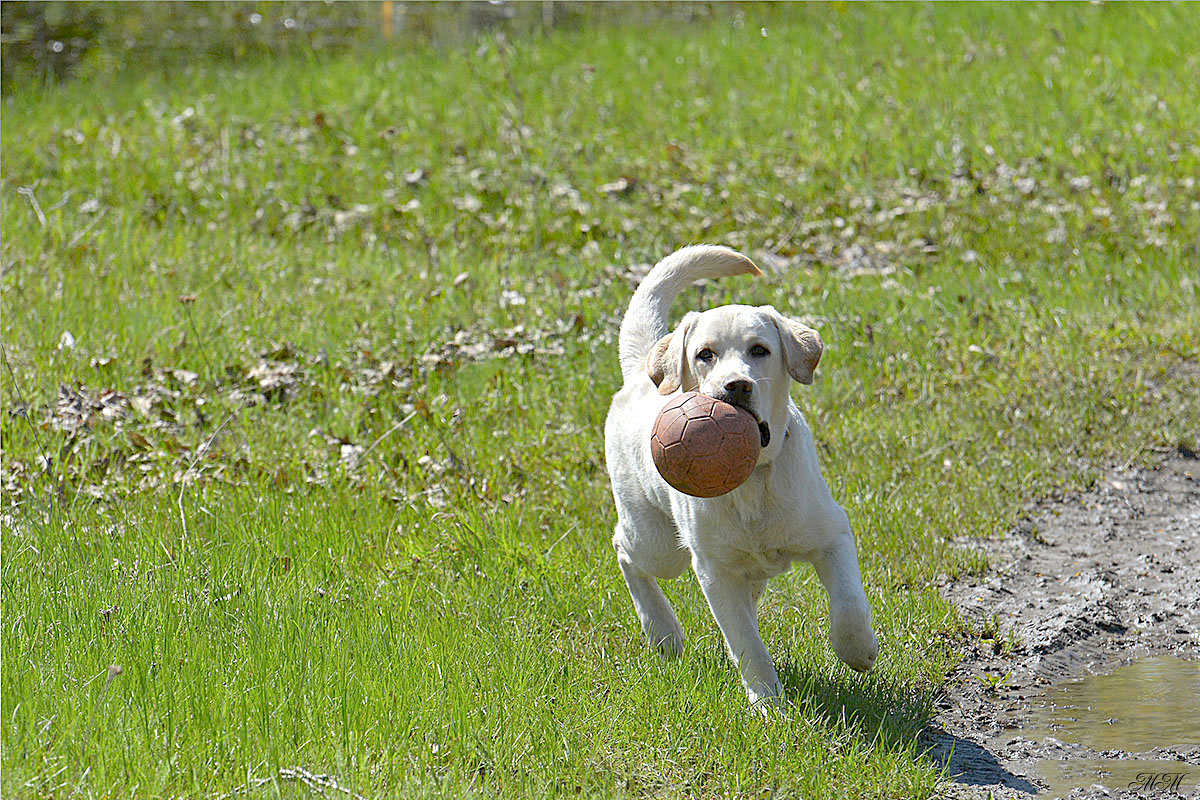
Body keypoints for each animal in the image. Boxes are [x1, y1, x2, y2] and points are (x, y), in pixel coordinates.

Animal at [604, 244, 878, 705]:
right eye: (705, 355)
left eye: (759, 350)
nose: (736, 386)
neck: (752, 481)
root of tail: (641, 371)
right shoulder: (714, 572)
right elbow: (746, 643)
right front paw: (769, 704)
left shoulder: (833, 533)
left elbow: (848, 603)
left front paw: (858, 649)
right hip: (658, 543)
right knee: (625, 550)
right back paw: (662, 631)